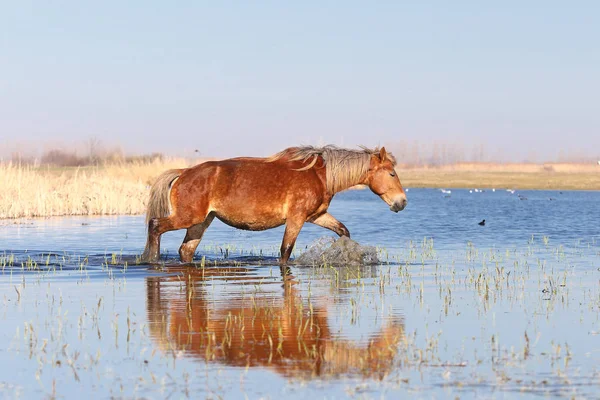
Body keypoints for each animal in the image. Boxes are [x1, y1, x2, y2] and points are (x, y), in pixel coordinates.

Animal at [139, 145, 408, 266]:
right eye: (392, 173)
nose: (402, 202)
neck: (319, 174)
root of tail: (184, 172)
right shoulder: (297, 218)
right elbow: (285, 250)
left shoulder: (317, 215)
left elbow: (343, 231)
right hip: (188, 217)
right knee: (155, 226)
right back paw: (151, 260)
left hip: (201, 222)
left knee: (186, 249)